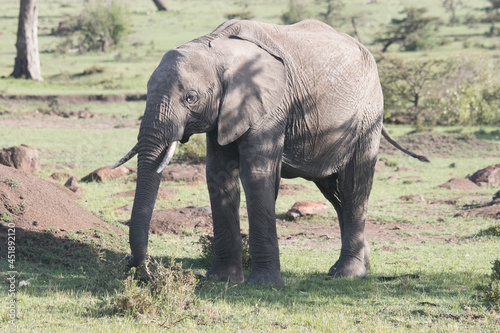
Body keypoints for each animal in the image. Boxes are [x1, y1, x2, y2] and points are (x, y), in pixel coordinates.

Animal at [113, 19, 430, 286]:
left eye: (191, 98)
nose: (135, 265)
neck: (218, 48)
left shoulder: (270, 106)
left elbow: (257, 175)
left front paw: (263, 285)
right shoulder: (225, 113)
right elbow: (218, 176)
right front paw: (221, 280)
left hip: (368, 114)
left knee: (354, 186)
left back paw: (347, 274)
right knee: (335, 192)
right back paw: (361, 264)